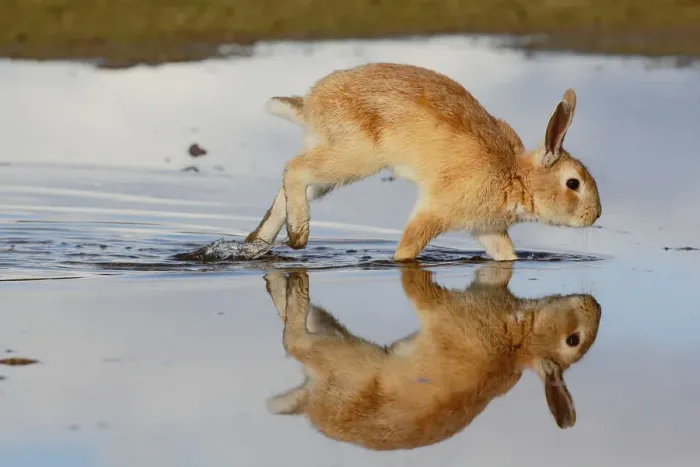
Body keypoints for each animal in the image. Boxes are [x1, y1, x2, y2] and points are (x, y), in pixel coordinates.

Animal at [246, 63, 602, 261]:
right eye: (573, 183)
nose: (595, 215)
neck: (516, 177)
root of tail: (311, 103)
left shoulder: (488, 230)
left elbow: (507, 256)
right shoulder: (434, 212)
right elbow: (408, 247)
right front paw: (398, 260)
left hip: (331, 167)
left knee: (289, 188)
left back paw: (259, 243)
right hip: (353, 158)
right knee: (295, 168)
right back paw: (298, 237)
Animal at [263, 264, 602, 450]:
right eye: (573, 340)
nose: (595, 305)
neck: (519, 341)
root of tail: (311, 405)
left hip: (333, 342)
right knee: (292, 342)